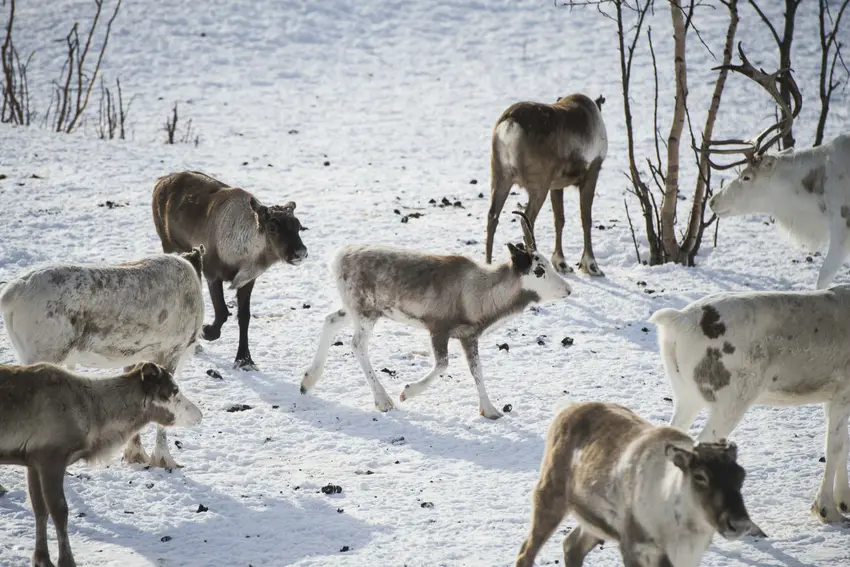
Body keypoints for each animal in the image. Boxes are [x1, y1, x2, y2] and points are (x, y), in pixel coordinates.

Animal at [152, 170, 308, 370]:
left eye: (298, 225)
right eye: (272, 227)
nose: (300, 252)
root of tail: (161, 180)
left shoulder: (248, 280)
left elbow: (244, 317)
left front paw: (244, 359)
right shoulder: (212, 273)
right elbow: (222, 311)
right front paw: (207, 331)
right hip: (169, 244)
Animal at [301, 212, 572, 419]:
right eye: (538, 270)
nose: (568, 289)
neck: (478, 290)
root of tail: (338, 257)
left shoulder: (468, 337)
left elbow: (477, 371)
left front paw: (490, 410)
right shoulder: (438, 331)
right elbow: (443, 364)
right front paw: (406, 392)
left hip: (356, 311)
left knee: (330, 320)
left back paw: (307, 382)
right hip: (366, 314)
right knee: (357, 344)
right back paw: (384, 400)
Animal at [486, 93, 608, 277]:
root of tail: (510, 124)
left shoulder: (556, 185)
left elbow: (559, 219)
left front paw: (561, 263)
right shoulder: (592, 172)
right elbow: (586, 219)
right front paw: (592, 265)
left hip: (500, 177)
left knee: (492, 217)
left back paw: (487, 264)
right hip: (538, 185)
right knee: (526, 219)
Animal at [515, 401, 762, 567]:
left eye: (741, 475)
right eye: (700, 476)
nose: (739, 524)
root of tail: (567, 410)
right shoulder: (635, 548)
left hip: (595, 522)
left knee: (571, 545)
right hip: (550, 496)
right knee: (526, 551)